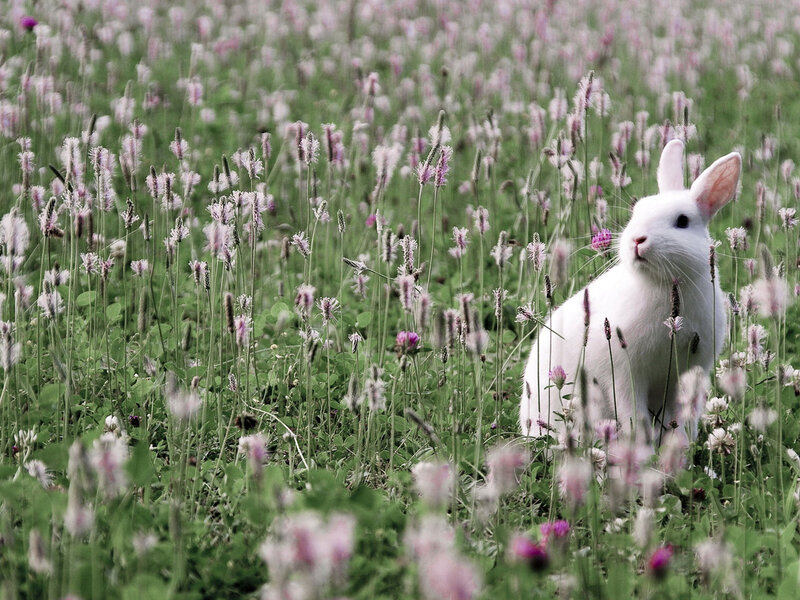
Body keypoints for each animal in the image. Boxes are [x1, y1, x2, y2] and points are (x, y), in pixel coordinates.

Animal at [520, 139, 741, 446]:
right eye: (637, 211)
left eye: (682, 221)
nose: (638, 239)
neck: (662, 285)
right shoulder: (624, 374)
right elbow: (633, 415)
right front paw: (643, 449)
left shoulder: (690, 372)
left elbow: (683, 417)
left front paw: (679, 447)